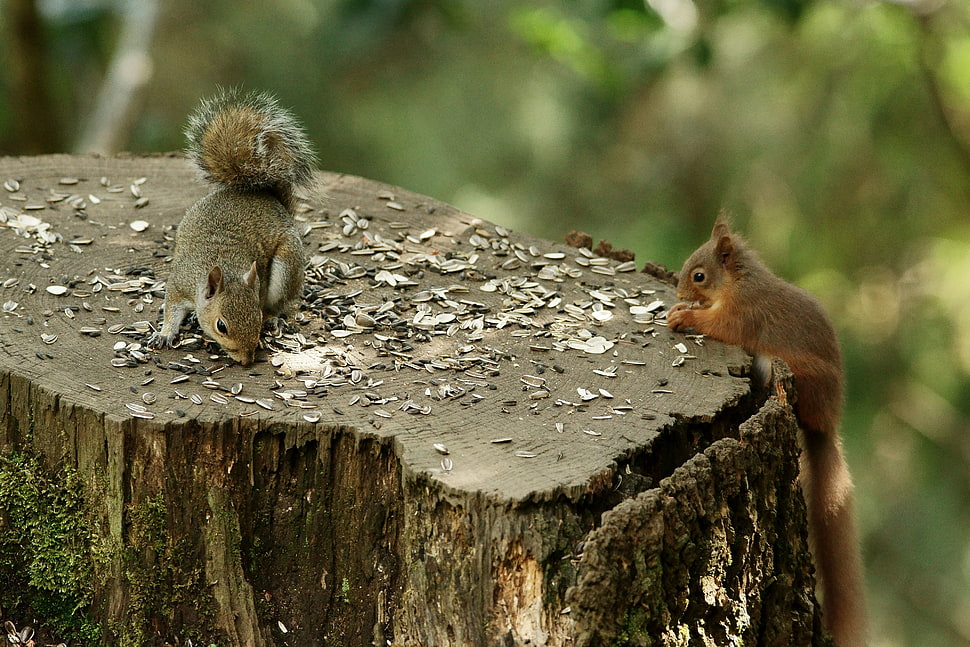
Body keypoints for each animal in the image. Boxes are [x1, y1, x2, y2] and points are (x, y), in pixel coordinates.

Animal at [147, 89, 314, 368]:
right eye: (221, 326)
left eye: (255, 317)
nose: (247, 360)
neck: (224, 266)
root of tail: (268, 198)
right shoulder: (180, 283)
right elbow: (171, 310)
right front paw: (165, 333)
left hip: (287, 264)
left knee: (280, 301)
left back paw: (274, 317)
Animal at [664, 216, 868, 647]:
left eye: (699, 276)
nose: (679, 292)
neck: (738, 282)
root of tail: (826, 423)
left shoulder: (744, 315)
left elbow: (720, 326)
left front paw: (684, 316)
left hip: (802, 377)